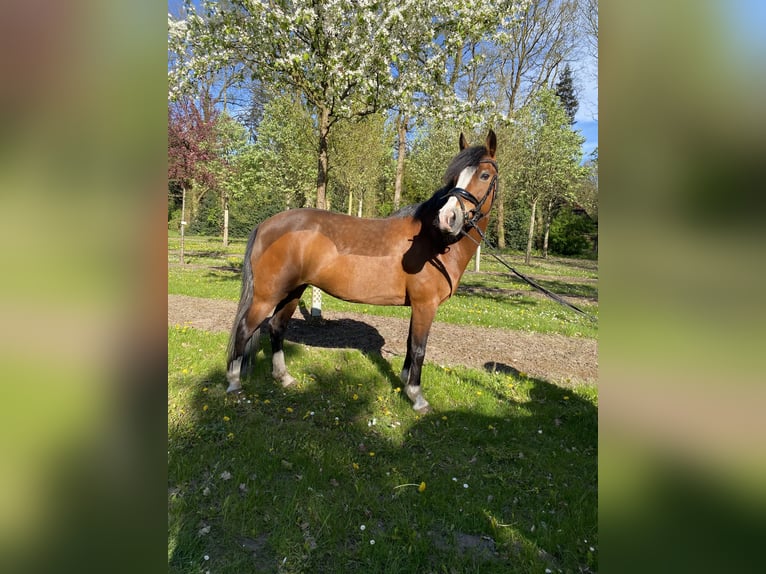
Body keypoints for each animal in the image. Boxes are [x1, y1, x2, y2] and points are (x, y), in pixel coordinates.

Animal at [226, 130, 498, 413]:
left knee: (277, 327)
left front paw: (404, 382)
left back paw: (284, 378)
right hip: (266, 296)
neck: (433, 242)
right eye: (454, 178)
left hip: (292, 291)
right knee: (244, 329)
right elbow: (419, 348)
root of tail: (265, 225)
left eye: (484, 175)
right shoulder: (426, 305)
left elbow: (410, 344)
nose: (448, 218)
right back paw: (234, 384)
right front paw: (417, 397)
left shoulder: (418, 306)